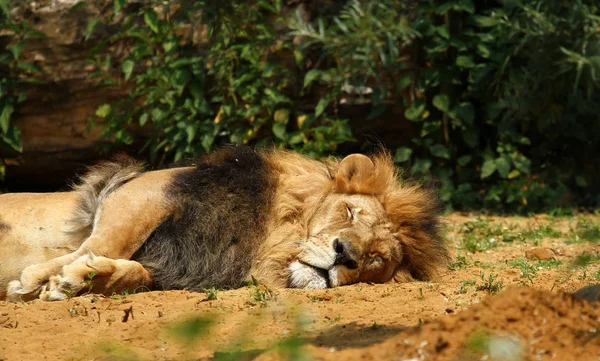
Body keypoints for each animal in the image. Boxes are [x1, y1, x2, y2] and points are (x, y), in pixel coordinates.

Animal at [0, 145, 448, 300]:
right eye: (351, 212)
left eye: (376, 260)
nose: (345, 255)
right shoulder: (147, 189)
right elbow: (106, 242)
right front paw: (36, 279)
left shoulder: (183, 265)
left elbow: (134, 273)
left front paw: (82, 281)